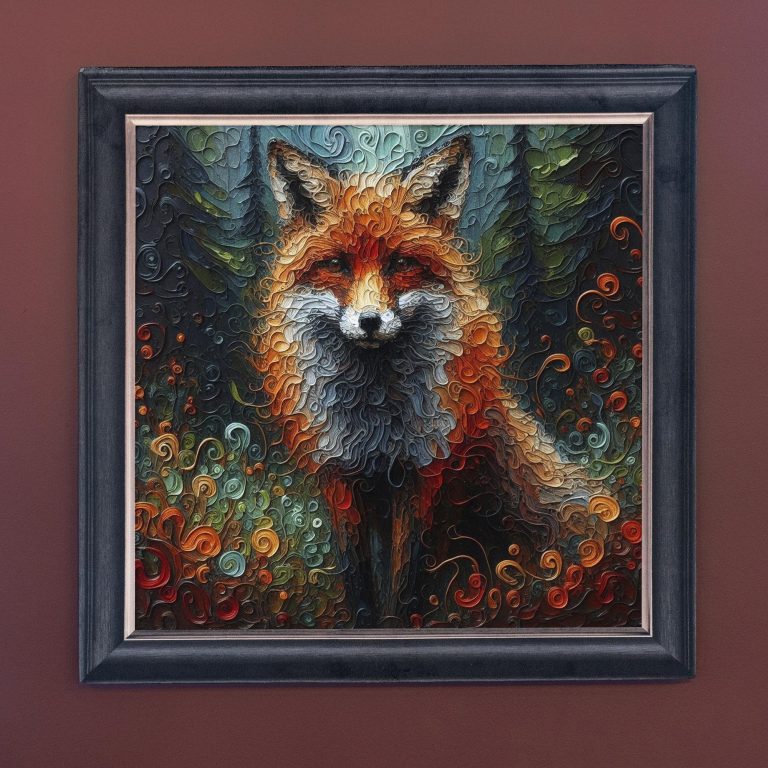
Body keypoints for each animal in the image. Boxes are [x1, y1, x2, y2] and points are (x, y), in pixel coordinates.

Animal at [255, 135, 617, 626]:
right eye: (337, 264)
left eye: (400, 263)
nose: (370, 321)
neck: (377, 419)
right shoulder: (339, 476)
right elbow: (358, 578)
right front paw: (364, 622)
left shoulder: (425, 473)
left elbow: (406, 578)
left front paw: (397, 624)